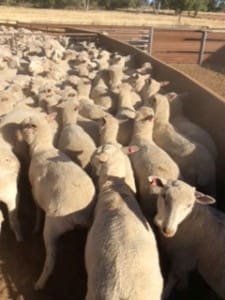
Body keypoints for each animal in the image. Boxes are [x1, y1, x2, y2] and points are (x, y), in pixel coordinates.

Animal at [17, 113, 95, 290]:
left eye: (25, 125)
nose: (17, 126)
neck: (42, 148)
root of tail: (79, 214)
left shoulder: (34, 191)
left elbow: (38, 210)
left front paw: (35, 227)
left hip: (53, 227)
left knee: (51, 261)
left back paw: (40, 283)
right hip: (87, 225)